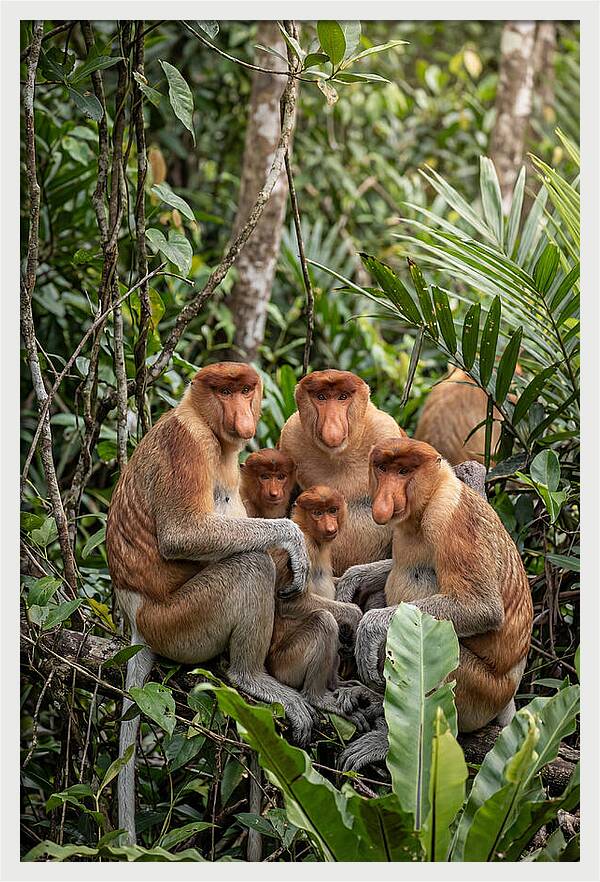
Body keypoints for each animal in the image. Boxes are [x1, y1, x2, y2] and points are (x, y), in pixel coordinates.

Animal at [106, 362, 316, 844]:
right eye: (223, 391)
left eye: (245, 389)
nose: (242, 416)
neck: (203, 420)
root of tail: (136, 621)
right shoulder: (188, 445)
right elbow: (184, 534)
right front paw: (293, 540)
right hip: (180, 622)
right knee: (249, 566)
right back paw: (249, 676)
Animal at [267, 486, 378, 727]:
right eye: (317, 513)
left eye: (332, 510)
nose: (329, 527)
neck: (311, 534)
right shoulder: (302, 550)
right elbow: (289, 602)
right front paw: (355, 614)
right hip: (286, 665)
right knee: (324, 621)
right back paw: (318, 697)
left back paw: (339, 684)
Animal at [278, 369, 405, 576]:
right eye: (321, 397)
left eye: (342, 397)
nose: (332, 428)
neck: (339, 456)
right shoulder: (290, 437)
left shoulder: (386, 430)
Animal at [337, 437, 532, 771]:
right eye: (383, 468)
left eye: (404, 471)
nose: (385, 499)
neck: (430, 498)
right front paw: (352, 580)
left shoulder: (451, 519)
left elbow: (481, 607)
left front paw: (370, 627)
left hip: (480, 692)